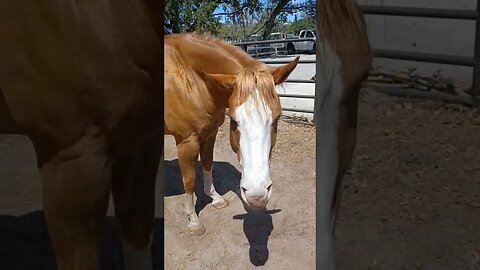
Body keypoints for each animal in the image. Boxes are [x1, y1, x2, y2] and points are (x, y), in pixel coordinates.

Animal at [165, 33, 298, 235]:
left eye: (277, 117)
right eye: (235, 120)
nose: (257, 195)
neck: (191, 80)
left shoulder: (210, 133)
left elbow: (207, 164)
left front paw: (216, 198)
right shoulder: (186, 141)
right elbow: (189, 180)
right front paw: (194, 221)